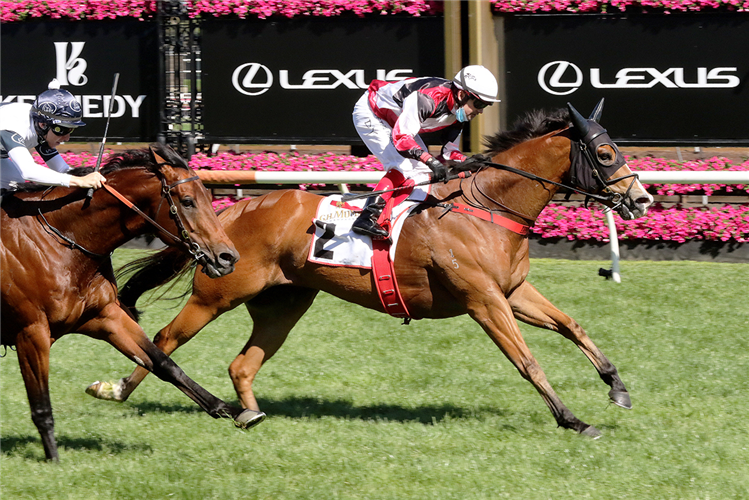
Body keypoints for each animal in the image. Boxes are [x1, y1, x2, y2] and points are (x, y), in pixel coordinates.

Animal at [0, 144, 266, 460]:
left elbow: (164, 364)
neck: (60, 243)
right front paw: (53, 460)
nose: (228, 258)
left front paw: (234, 411)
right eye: (188, 201)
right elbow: (41, 405)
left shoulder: (105, 316)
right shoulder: (32, 332)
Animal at [87, 102, 652, 438]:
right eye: (605, 153)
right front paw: (573, 419)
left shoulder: (513, 291)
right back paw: (116, 389)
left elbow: (572, 326)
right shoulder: (484, 301)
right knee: (164, 338)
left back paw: (249, 411)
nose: (642, 199)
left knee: (242, 364)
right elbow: (527, 360)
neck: (486, 207)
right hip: (217, 295)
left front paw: (617, 388)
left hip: (284, 302)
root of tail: (229, 213)